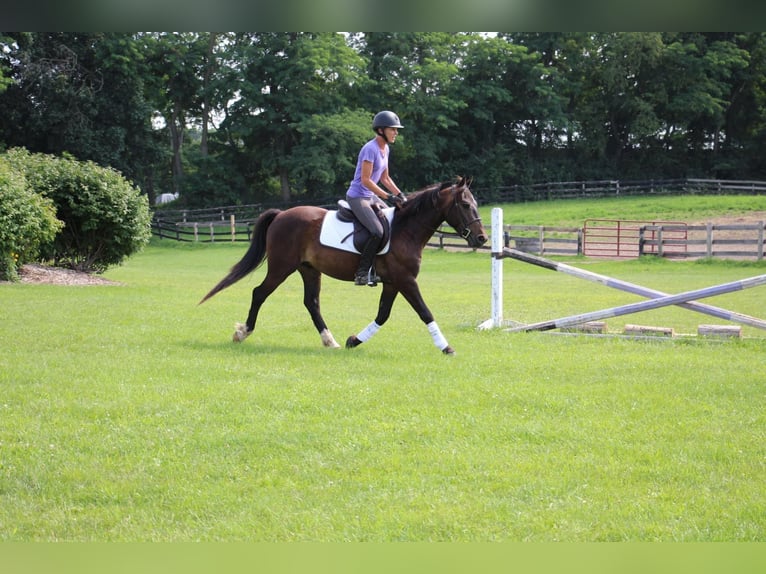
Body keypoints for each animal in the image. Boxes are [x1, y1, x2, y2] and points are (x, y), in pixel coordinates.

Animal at [198, 176, 486, 356]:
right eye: (465, 204)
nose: (481, 238)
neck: (406, 230)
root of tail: (281, 215)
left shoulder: (393, 282)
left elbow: (383, 315)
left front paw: (353, 341)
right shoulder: (406, 281)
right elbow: (425, 312)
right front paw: (446, 347)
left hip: (308, 269)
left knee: (311, 302)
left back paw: (331, 341)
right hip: (282, 267)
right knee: (260, 293)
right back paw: (242, 333)